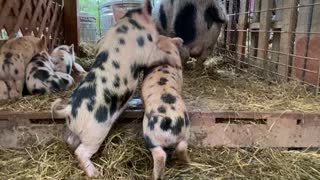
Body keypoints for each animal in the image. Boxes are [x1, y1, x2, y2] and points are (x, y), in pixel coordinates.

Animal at [52, 0, 182, 177]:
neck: (128, 24)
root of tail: (69, 110)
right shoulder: (147, 51)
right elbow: (158, 55)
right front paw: (174, 61)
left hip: (78, 130)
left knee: (72, 141)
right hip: (95, 133)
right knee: (81, 152)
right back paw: (95, 173)